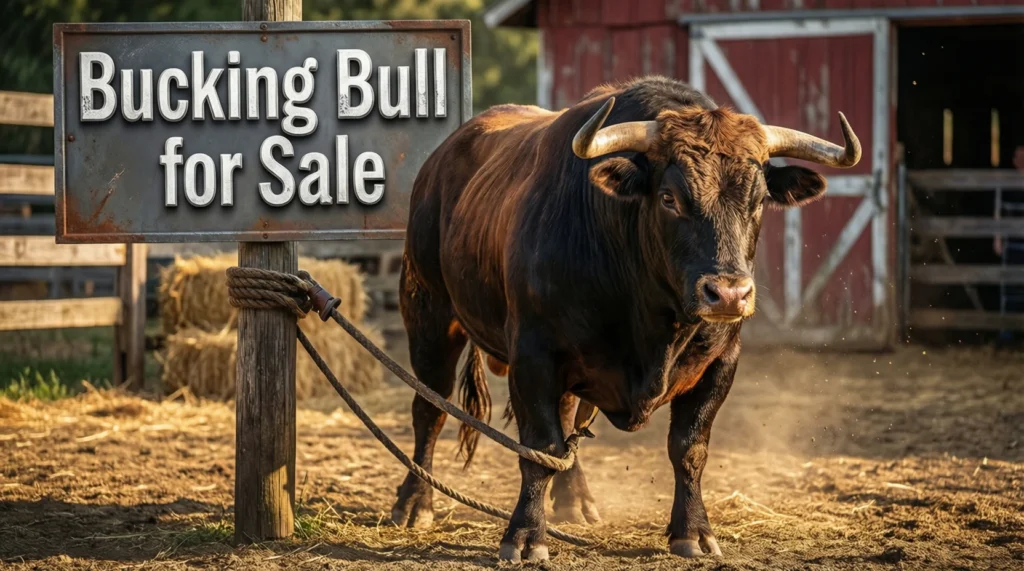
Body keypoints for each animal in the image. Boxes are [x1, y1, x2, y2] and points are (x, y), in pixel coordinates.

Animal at [390, 76, 860, 561]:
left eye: (759, 200)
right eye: (670, 198)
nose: (729, 293)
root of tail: (439, 162)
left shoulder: (720, 362)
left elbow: (688, 449)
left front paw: (693, 531)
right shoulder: (533, 357)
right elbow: (539, 446)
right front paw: (524, 536)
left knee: (565, 420)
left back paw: (575, 501)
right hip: (428, 312)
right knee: (430, 408)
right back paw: (414, 503)